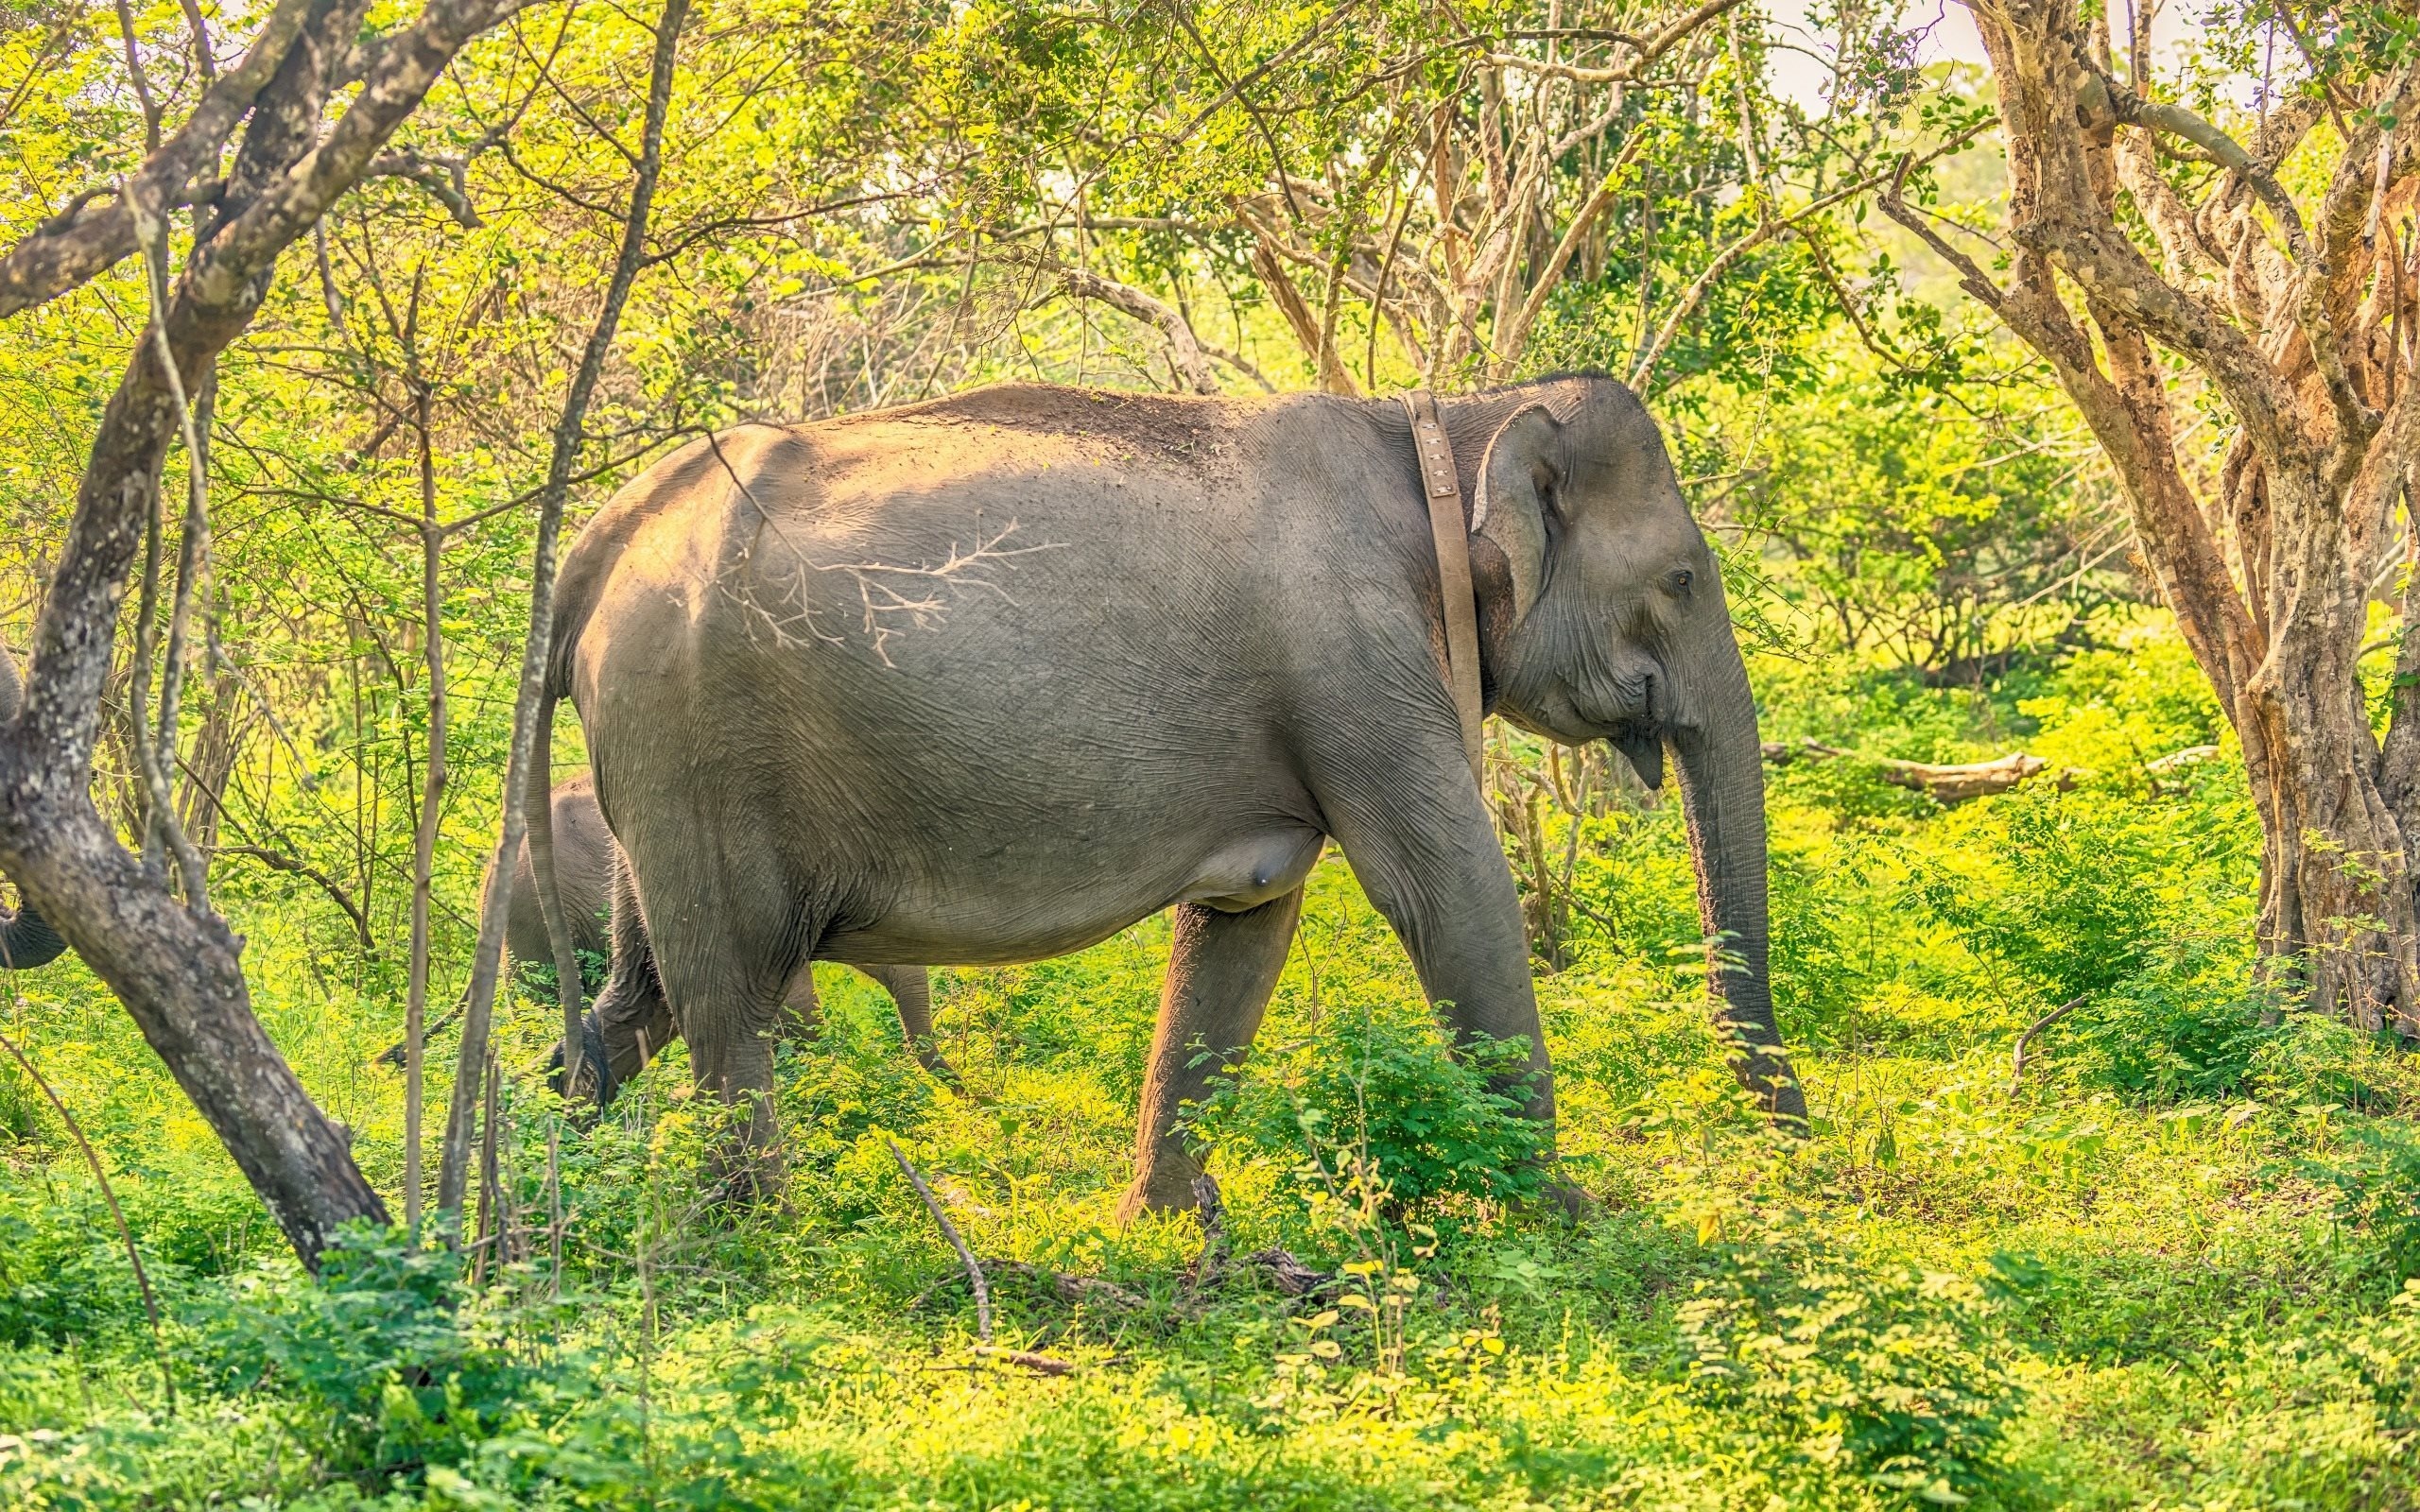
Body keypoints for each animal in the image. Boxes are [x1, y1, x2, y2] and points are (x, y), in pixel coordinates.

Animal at [539, 372, 1809, 1210]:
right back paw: (758, 1236)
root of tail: (606, 535)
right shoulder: (1357, 662)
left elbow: (1247, 923)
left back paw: (546, 1214)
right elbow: (1448, 895)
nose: (1795, 1147)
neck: (1443, 415)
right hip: (694, 745)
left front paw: (1170, 1231)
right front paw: (1571, 1228)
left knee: (639, 997)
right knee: (726, 1000)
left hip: (655, 774)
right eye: (1682, 579)